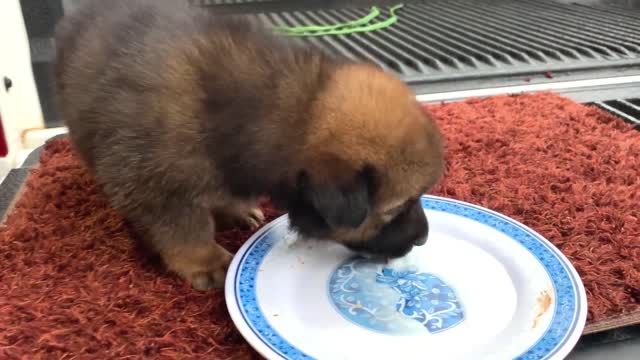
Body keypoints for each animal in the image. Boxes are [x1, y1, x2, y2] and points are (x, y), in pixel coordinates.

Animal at [53, 0, 444, 288]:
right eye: (396, 208)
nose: (425, 238)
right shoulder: (155, 185)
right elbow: (183, 228)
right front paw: (204, 260)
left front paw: (234, 208)